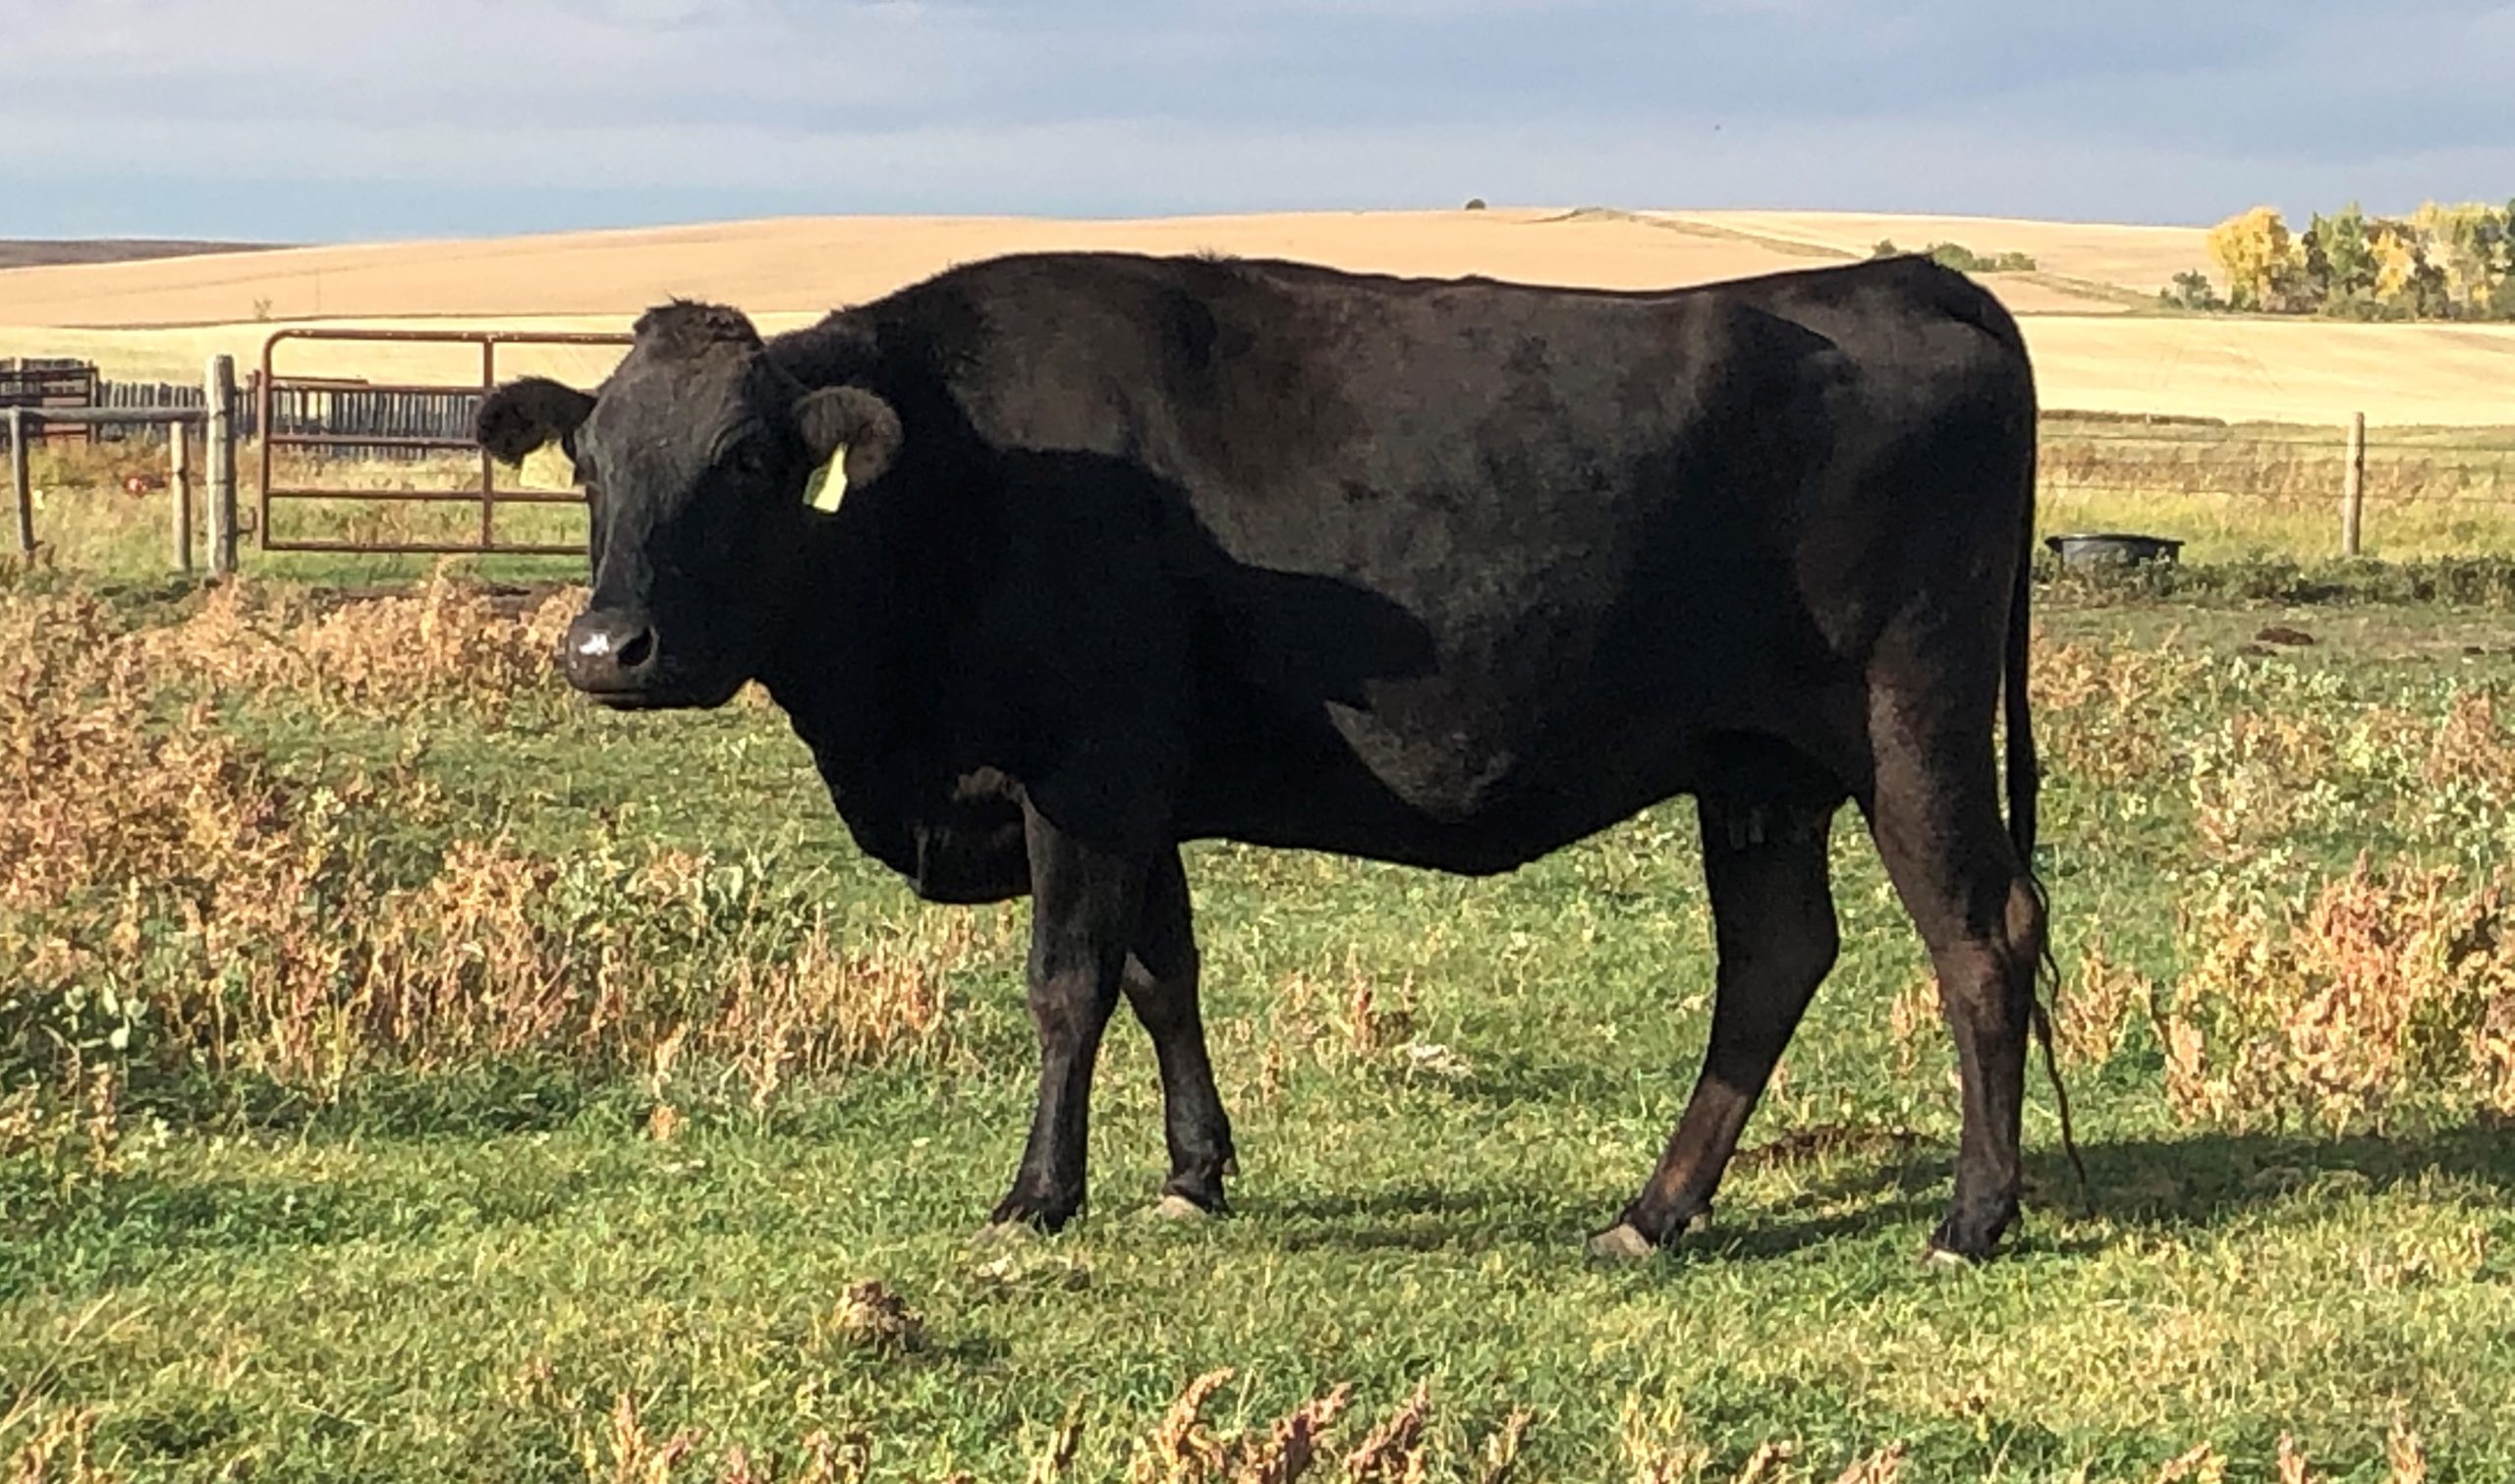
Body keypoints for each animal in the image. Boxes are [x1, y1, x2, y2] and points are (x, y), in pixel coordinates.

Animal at [475, 252, 2062, 1267]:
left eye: (746, 459)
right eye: (589, 464)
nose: (608, 646)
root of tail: (1910, 278)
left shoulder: (1085, 770)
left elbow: (1066, 987)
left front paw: (1038, 1194)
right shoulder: (1141, 790)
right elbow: (1160, 975)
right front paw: (1193, 1173)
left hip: (1910, 730)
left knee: (1982, 939)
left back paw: (1970, 1219)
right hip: (1755, 772)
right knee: (1775, 960)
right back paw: (1653, 1210)